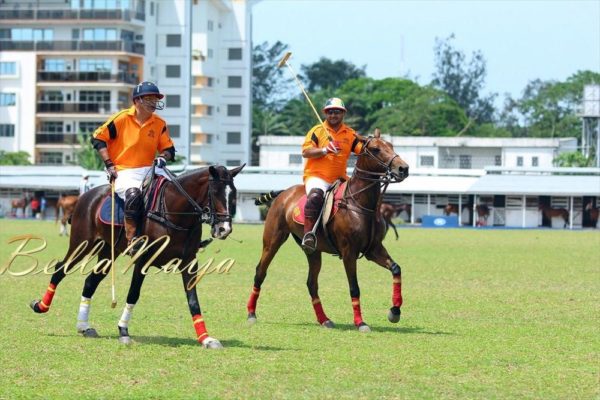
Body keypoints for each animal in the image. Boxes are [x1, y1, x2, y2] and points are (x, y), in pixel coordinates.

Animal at [29, 164, 245, 348]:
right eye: (215, 193)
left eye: (233, 194)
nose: (224, 229)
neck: (174, 212)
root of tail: (84, 196)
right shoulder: (143, 260)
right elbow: (133, 293)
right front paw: (123, 331)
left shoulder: (189, 262)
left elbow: (193, 300)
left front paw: (206, 338)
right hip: (82, 243)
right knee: (60, 269)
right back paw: (41, 305)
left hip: (108, 251)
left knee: (90, 281)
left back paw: (84, 326)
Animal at [246, 130, 410, 332]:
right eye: (375, 149)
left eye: (391, 146)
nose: (403, 168)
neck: (361, 205)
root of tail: (284, 193)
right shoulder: (349, 252)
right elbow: (354, 287)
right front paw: (360, 322)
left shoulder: (373, 249)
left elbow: (396, 269)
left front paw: (394, 311)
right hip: (273, 240)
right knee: (260, 271)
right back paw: (251, 314)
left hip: (312, 250)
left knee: (311, 283)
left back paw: (324, 319)